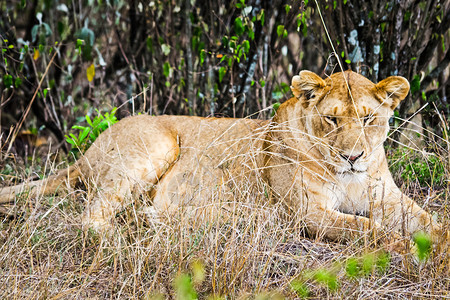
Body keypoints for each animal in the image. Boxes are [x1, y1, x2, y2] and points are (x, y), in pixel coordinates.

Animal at [0, 69, 442, 248]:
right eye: (332, 119)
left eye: (368, 119)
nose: (352, 157)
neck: (350, 176)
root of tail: (88, 150)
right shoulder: (308, 214)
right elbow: (368, 228)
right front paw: (400, 245)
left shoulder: (388, 199)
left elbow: (430, 222)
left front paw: (438, 243)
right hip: (157, 145)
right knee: (91, 218)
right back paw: (126, 236)